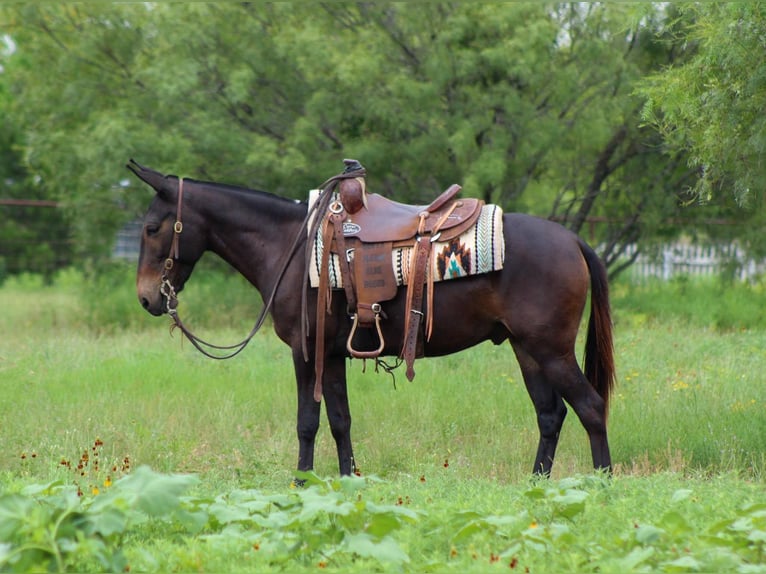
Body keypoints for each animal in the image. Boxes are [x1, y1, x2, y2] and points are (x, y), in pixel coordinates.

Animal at [129, 160, 615, 477]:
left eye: (152, 228)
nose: (147, 298)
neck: (289, 245)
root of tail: (573, 240)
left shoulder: (307, 352)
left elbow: (308, 422)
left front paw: (300, 484)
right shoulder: (332, 355)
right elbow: (340, 420)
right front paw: (348, 480)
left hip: (551, 349)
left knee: (590, 407)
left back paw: (602, 483)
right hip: (526, 349)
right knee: (550, 414)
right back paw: (537, 485)